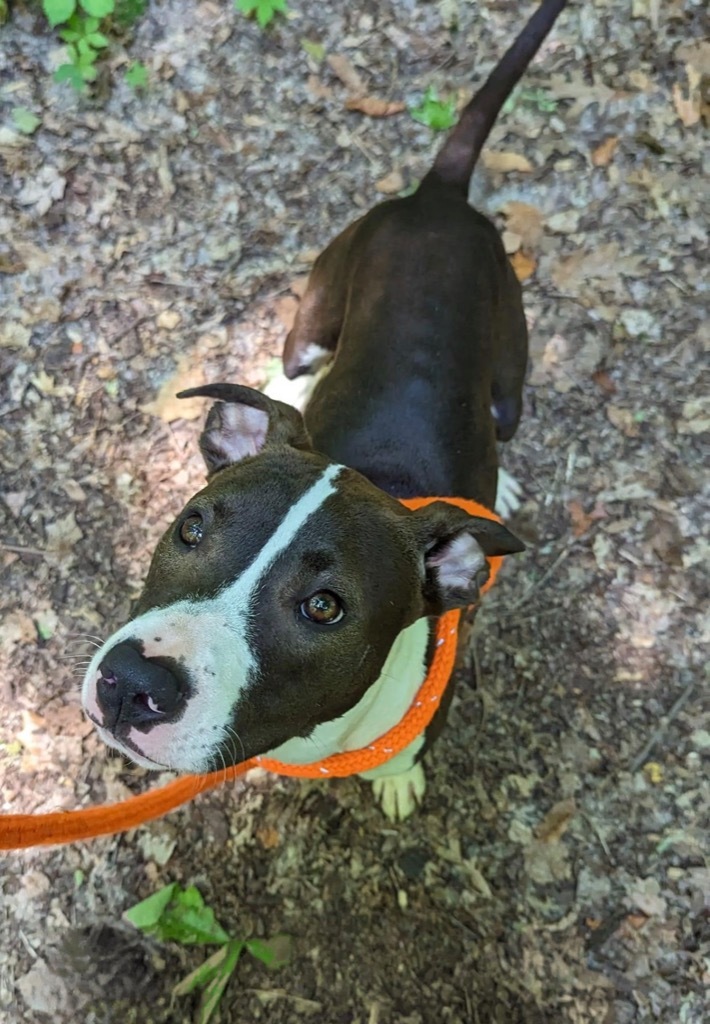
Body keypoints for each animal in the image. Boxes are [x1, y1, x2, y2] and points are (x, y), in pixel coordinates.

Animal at [82, 0, 569, 815]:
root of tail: (439, 198)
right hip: (310, 321)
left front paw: (398, 781)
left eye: (324, 607)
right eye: (191, 527)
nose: (134, 685)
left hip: (509, 385)